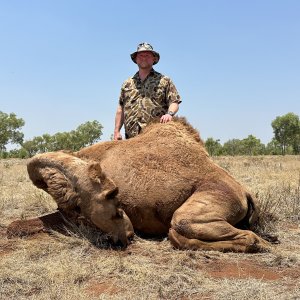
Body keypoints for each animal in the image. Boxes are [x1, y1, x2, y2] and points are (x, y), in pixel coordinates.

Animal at [24, 118, 270, 252]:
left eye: (113, 195)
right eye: (72, 209)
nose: (126, 236)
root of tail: (245, 193)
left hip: (188, 216)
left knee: (247, 236)